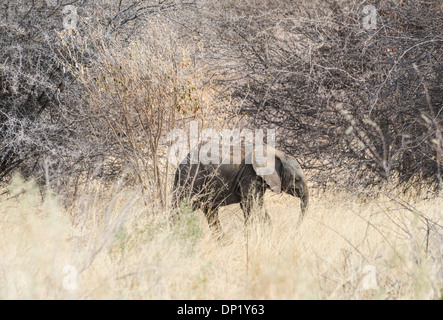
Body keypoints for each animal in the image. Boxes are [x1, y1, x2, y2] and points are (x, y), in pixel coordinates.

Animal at [172, 144, 310, 236]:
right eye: (297, 179)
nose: (295, 228)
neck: (275, 153)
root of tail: (180, 165)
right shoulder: (250, 175)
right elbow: (254, 203)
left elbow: (248, 205)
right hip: (193, 179)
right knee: (183, 206)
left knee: (209, 210)